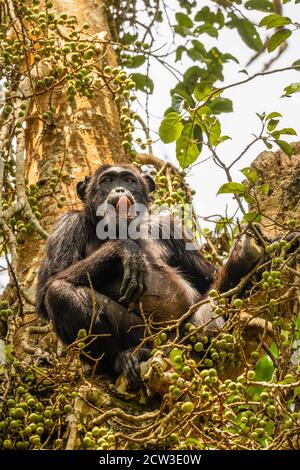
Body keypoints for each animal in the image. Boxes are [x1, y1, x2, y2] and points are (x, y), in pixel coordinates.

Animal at [35, 163, 268, 384]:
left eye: (128, 180)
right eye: (107, 181)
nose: (120, 189)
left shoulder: (171, 229)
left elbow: (208, 280)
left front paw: (245, 253)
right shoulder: (67, 225)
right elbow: (48, 286)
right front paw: (125, 248)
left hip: (180, 337)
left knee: (207, 311)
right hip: (142, 337)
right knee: (59, 291)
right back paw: (123, 358)